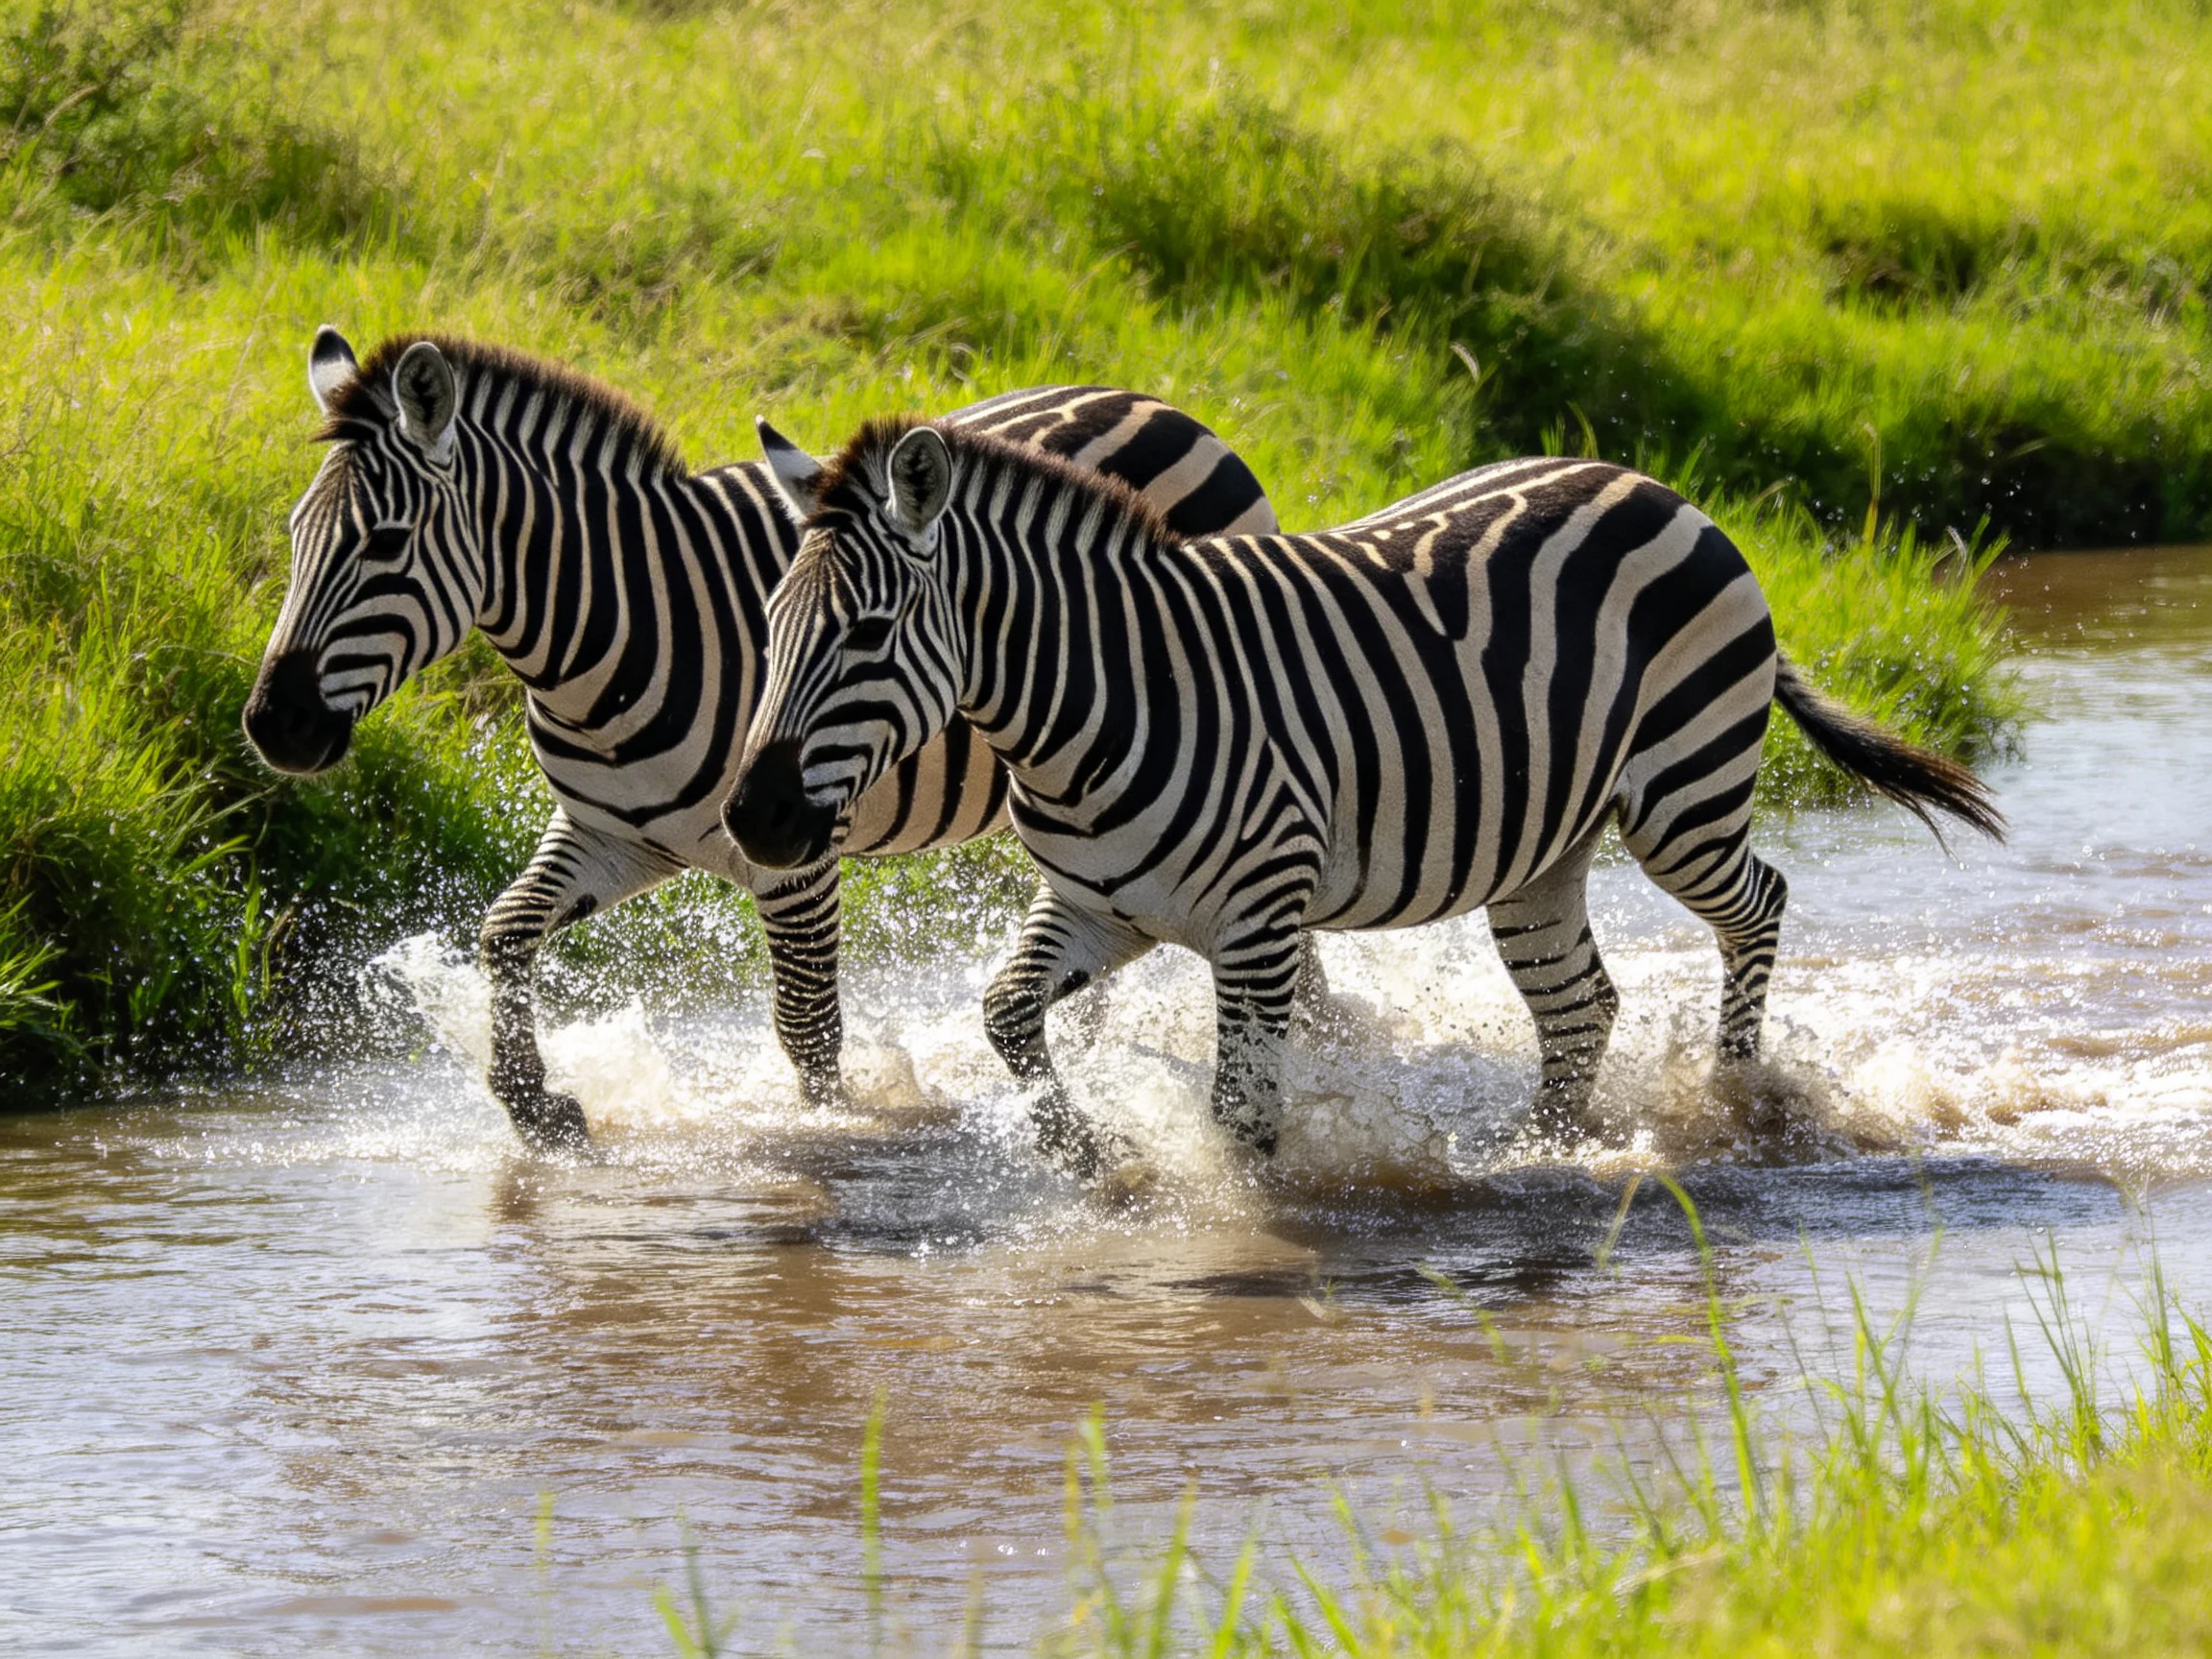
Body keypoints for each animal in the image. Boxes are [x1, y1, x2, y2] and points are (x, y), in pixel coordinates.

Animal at [241, 329, 1277, 1151]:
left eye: (383, 541)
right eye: (291, 534)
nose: (270, 726)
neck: (614, 641)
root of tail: (1158, 400)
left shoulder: (795, 856)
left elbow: (806, 1028)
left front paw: (837, 1137)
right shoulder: (612, 836)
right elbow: (503, 933)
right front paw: (537, 1107)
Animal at [723, 421, 2003, 1178]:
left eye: (869, 634)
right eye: (769, 625)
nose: (753, 820)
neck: (1099, 703)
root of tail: (1652, 483)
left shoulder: (1258, 922)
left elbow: (1240, 1117)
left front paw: (1240, 1225)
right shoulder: (1100, 909)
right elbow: (1004, 1015)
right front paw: (1089, 1156)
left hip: (1684, 793)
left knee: (1760, 905)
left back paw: (1735, 1104)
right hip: (1543, 848)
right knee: (1581, 1004)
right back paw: (1543, 1149)